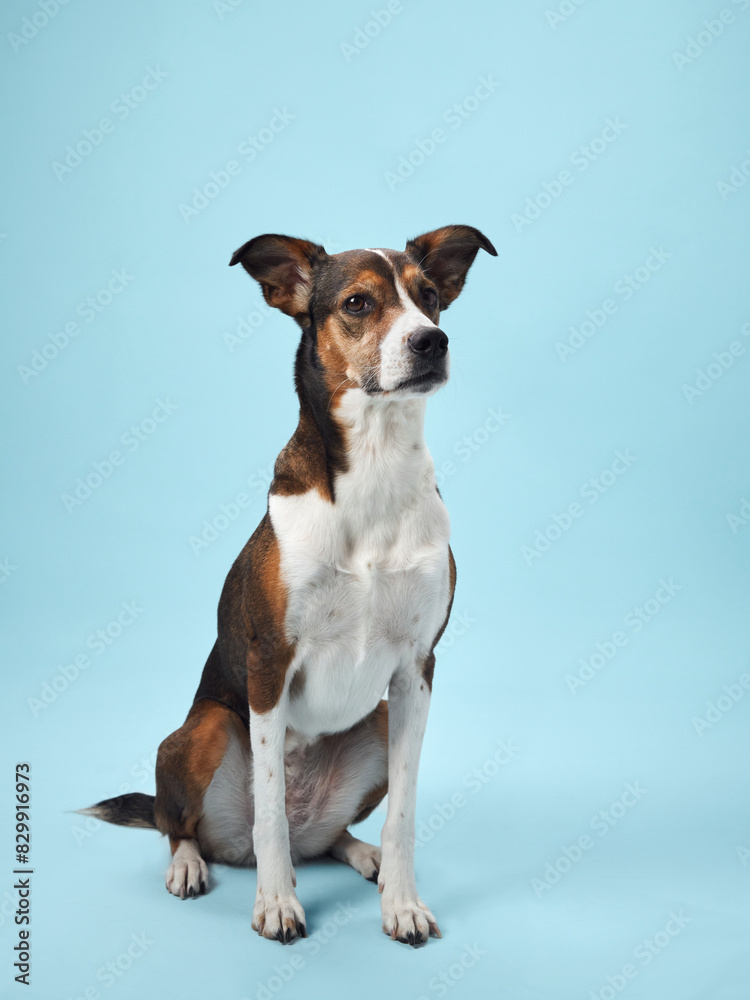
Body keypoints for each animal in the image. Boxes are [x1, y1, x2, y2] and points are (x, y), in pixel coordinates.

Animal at [82, 225, 496, 944]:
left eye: (431, 297)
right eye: (358, 303)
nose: (432, 342)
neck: (376, 468)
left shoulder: (416, 669)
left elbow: (405, 815)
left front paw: (402, 903)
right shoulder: (270, 662)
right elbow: (269, 809)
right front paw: (276, 904)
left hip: (376, 720)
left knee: (325, 839)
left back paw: (361, 855)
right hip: (202, 730)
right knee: (181, 824)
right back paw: (192, 865)